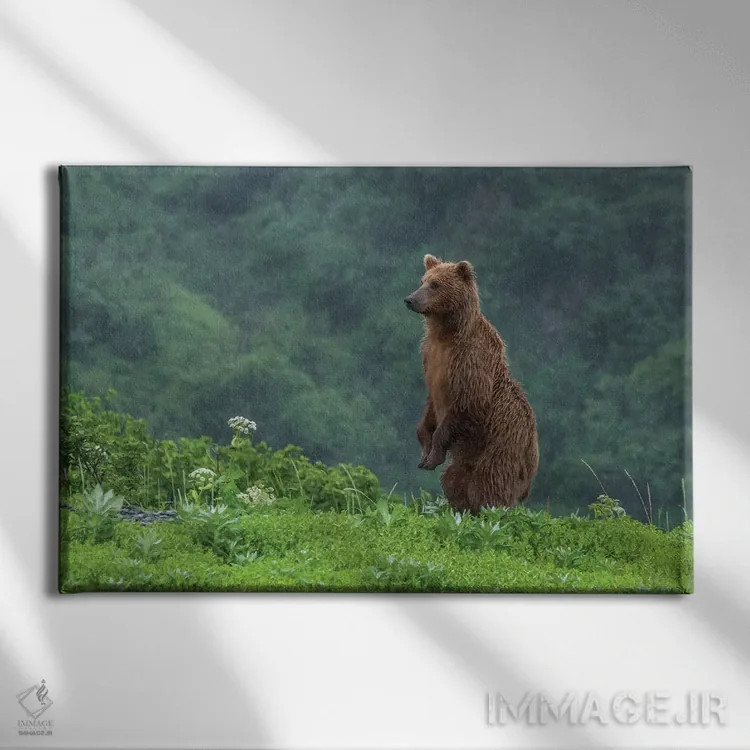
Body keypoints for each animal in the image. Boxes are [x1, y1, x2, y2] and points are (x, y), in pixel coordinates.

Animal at [404, 254, 539, 512]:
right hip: (469, 460)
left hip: (501, 447)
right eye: (423, 280)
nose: (410, 299)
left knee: (489, 483)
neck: (446, 332)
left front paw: (433, 455)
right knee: (454, 478)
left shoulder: (469, 361)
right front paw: (424, 452)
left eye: (435, 285)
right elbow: (429, 408)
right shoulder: (430, 357)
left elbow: (469, 401)